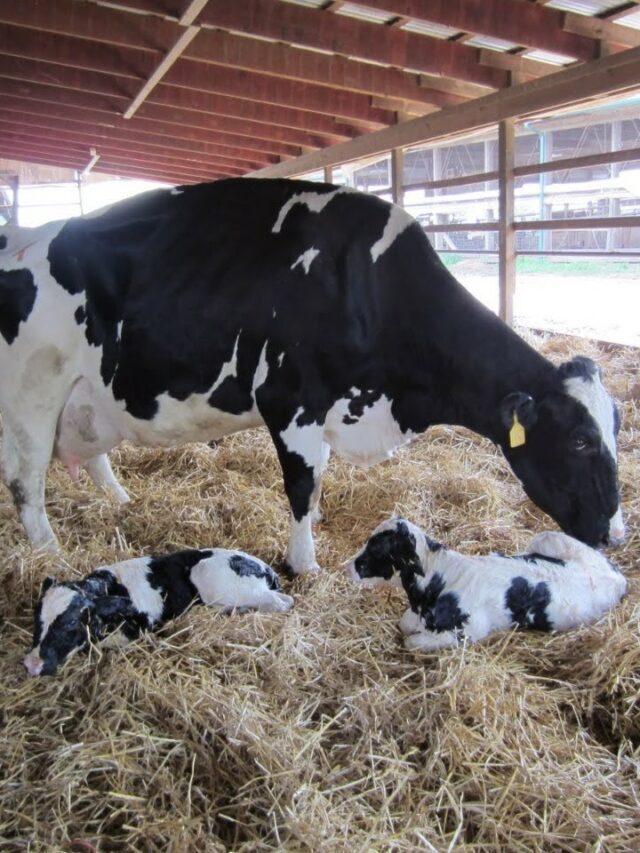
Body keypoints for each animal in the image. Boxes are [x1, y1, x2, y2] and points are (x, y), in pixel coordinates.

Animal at [0, 179, 624, 574]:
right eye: (579, 440)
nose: (614, 536)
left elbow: (319, 481)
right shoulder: (291, 400)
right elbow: (301, 486)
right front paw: (305, 562)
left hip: (87, 397)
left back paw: (121, 502)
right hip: (32, 396)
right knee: (26, 483)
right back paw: (50, 555)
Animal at [23, 547, 294, 676]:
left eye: (70, 624)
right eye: (37, 620)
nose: (31, 664)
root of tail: (265, 567)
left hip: (213, 578)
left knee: (284, 601)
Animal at [344, 518, 627, 650]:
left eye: (377, 549)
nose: (347, 567)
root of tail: (616, 576)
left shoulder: (469, 631)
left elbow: (411, 642)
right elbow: (404, 624)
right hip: (547, 538)